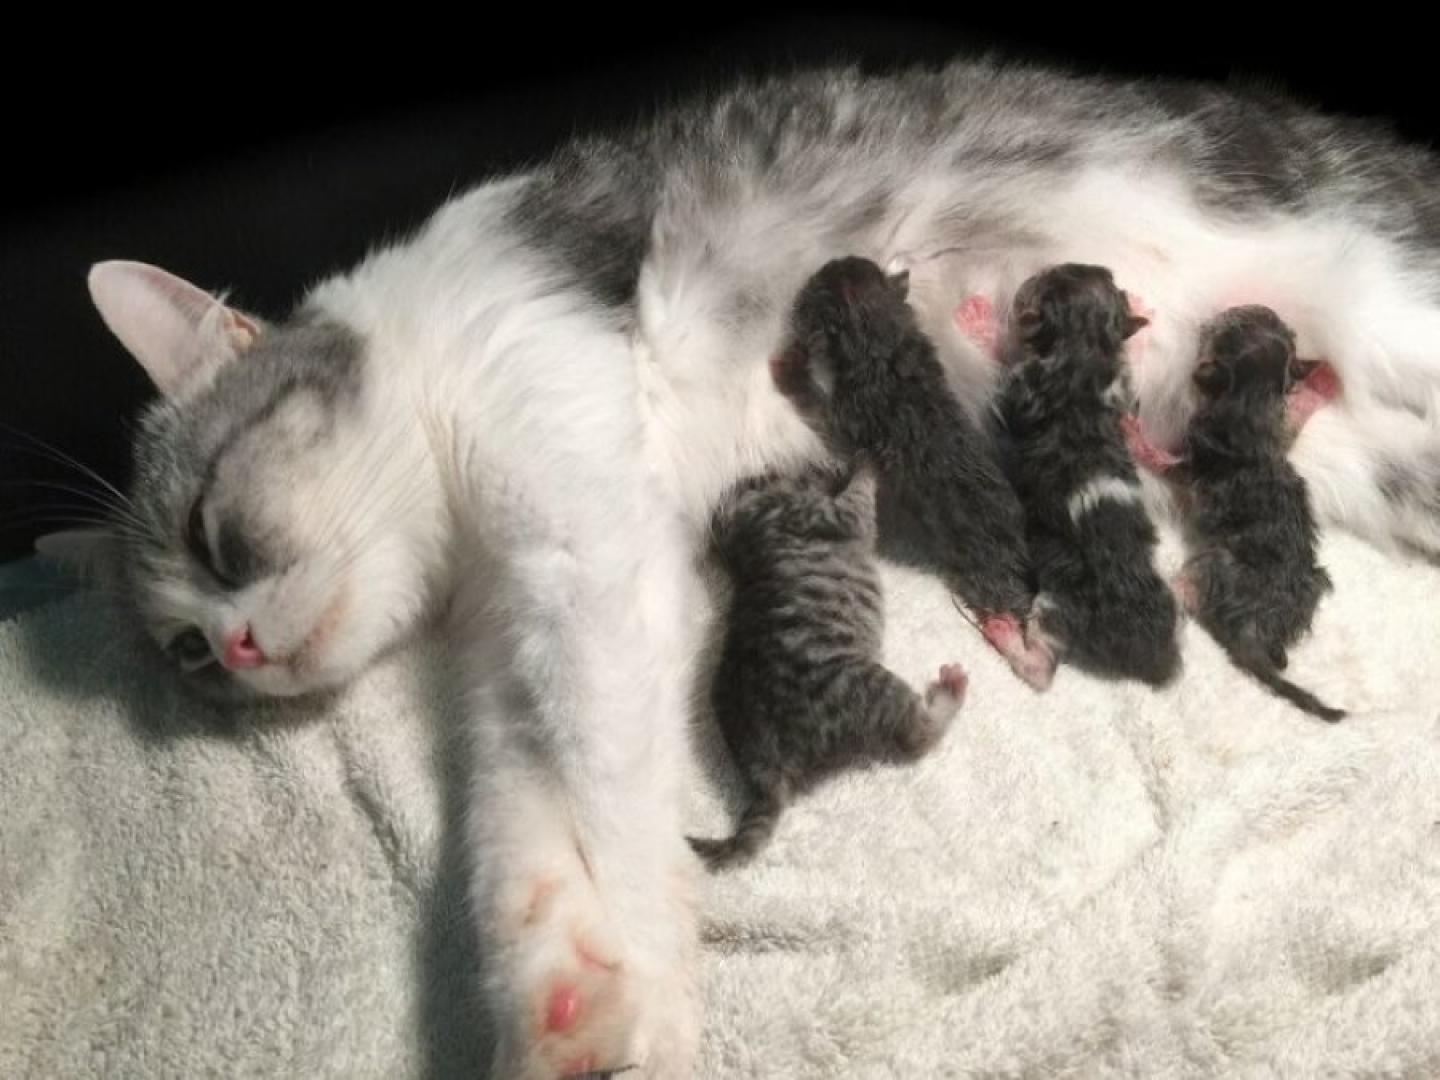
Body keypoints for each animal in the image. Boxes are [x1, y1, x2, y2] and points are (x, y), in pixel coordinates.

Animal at [688, 460, 967, 875]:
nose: (767, 468)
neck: (748, 530)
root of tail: (765, 769)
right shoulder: (834, 517)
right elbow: (859, 496)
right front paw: (864, 464)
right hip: (867, 684)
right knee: (917, 737)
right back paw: (950, 691)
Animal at [771, 257, 1054, 688]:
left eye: (811, 290)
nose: (796, 300)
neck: (883, 343)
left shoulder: (847, 417)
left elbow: (816, 406)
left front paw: (791, 364)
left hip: (989, 577)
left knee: (1034, 655)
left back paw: (1009, 639)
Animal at [996, 263, 1186, 688]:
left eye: (1051, 275)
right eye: (1098, 274)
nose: (1038, 270)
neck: (1086, 348)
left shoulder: (1026, 385)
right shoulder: (1122, 390)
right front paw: (1137, 309)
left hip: (1058, 604)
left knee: (1040, 670)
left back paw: (1003, 633)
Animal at [1175, 306, 1342, 720]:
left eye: (1229, 324)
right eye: (1264, 316)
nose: (1225, 309)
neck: (1252, 400)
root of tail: (1250, 625)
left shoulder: (1189, 455)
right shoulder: (1282, 430)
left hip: (1214, 559)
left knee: (1190, 593)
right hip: (1309, 587)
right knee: (1281, 656)